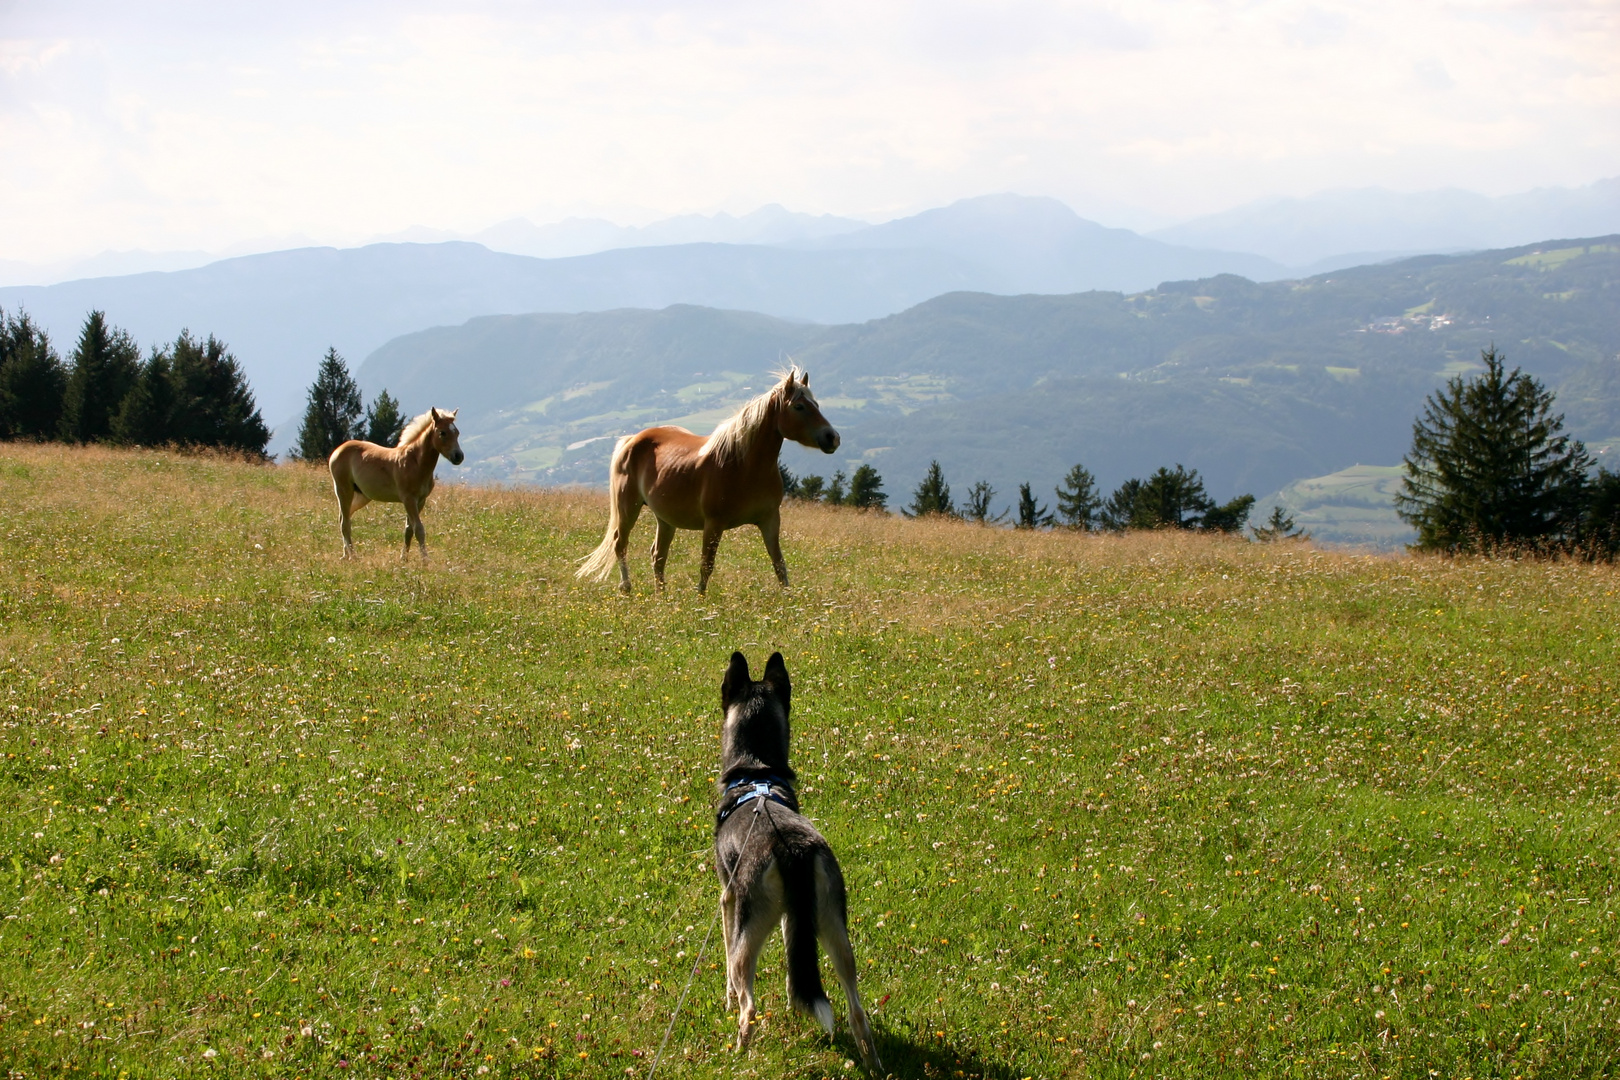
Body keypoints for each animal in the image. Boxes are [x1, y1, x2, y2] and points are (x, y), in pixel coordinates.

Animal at [322, 404, 463, 557]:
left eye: (457, 433)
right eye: (442, 433)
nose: (458, 456)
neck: (415, 462)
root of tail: (338, 449)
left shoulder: (420, 500)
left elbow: (409, 529)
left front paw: (404, 558)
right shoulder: (408, 499)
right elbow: (419, 529)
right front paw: (425, 559)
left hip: (361, 495)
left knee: (344, 517)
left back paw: (345, 555)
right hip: (343, 489)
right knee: (345, 523)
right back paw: (353, 556)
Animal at [576, 369, 835, 592]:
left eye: (817, 405)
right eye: (799, 406)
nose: (832, 437)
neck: (744, 466)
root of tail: (631, 439)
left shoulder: (770, 520)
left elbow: (779, 565)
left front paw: (789, 600)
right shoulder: (713, 524)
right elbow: (706, 566)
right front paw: (700, 601)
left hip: (665, 518)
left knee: (658, 556)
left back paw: (662, 597)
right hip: (628, 507)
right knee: (620, 544)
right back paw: (626, 588)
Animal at [712, 650, 881, 1075]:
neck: (756, 774)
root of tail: (793, 847)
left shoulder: (727, 899)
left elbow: (727, 967)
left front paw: (726, 1000)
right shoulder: (796, 916)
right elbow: (796, 971)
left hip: (751, 932)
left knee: (748, 1007)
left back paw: (738, 1055)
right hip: (834, 927)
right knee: (856, 1011)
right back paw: (872, 1064)